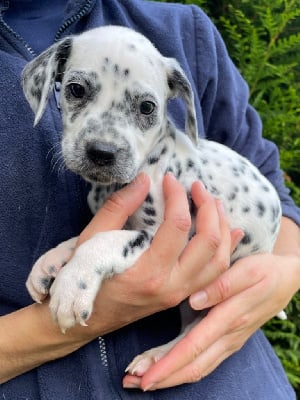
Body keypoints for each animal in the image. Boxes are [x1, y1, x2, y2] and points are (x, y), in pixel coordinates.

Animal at [22, 25, 284, 378]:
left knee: (194, 329)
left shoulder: (165, 236)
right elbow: (83, 237)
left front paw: (72, 284)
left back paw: (157, 356)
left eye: (147, 107)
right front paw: (50, 261)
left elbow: (102, 240)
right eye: (76, 89)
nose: (102, 152)